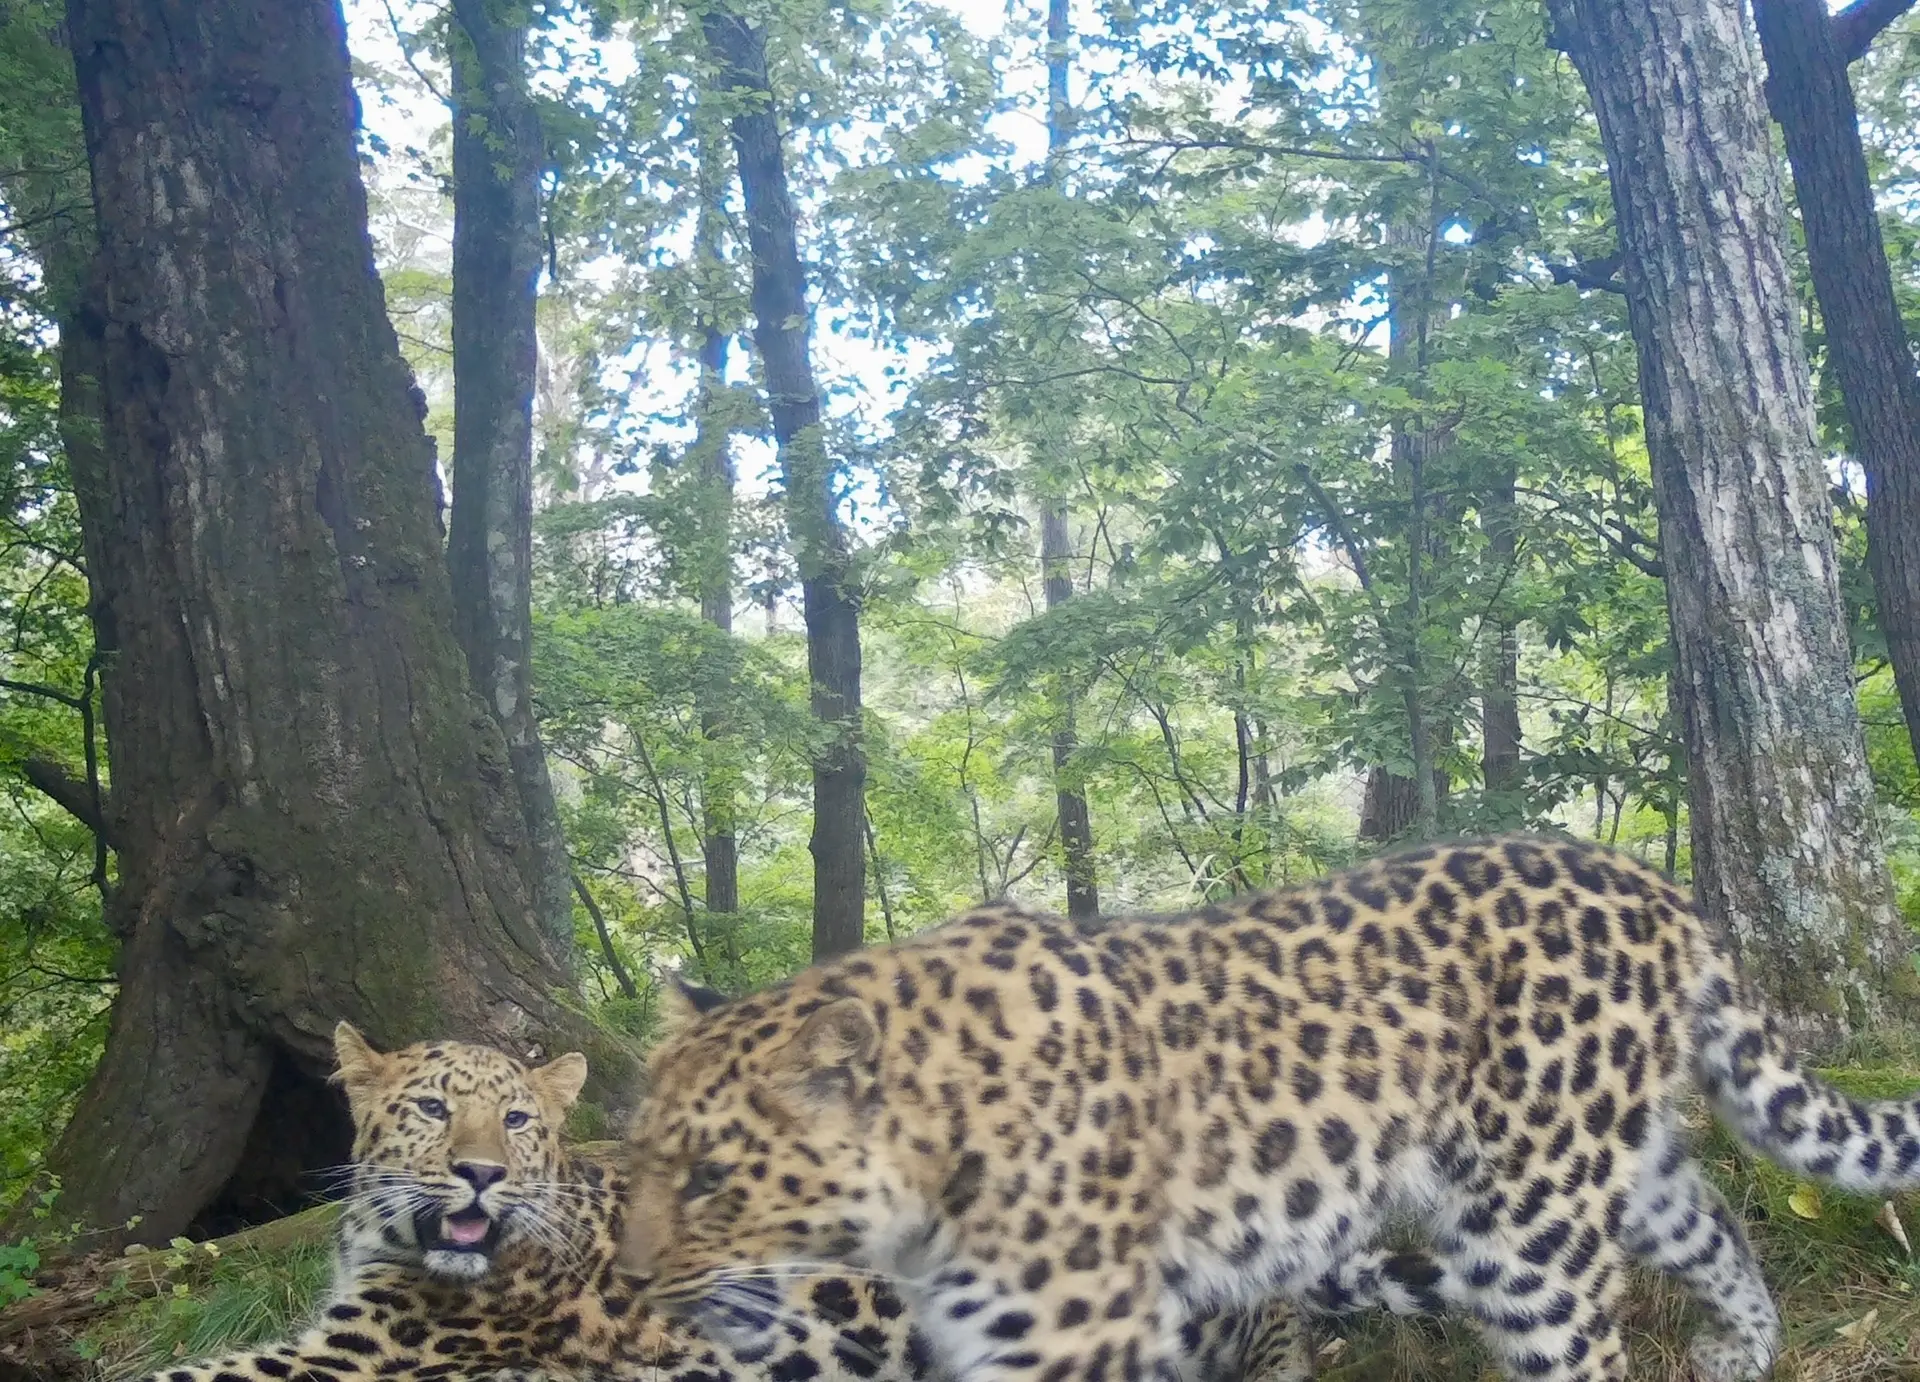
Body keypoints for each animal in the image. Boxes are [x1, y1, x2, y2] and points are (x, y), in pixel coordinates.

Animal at [617, 833, 1920, 1382]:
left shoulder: (1062, 1333)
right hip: (1596, 1163)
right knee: (1715, 1221)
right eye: (638, 1160)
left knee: (1582, 1347)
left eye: (713, 1178)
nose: (624, 1280)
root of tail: (1655, 883)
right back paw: (1743, 1347)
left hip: (1527, 1229)